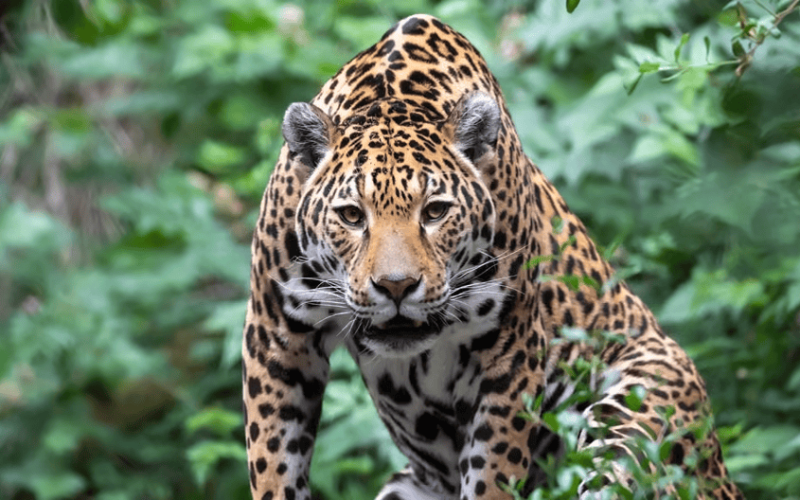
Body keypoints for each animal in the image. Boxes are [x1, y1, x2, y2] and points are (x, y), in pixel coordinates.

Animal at [242, 14, 743, 500]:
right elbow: (272, 464)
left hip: (633, 418)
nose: (396, 287)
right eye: (351, 215)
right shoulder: (276, 341)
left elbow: (493, 473)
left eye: (435, 211)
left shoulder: (510, 352)